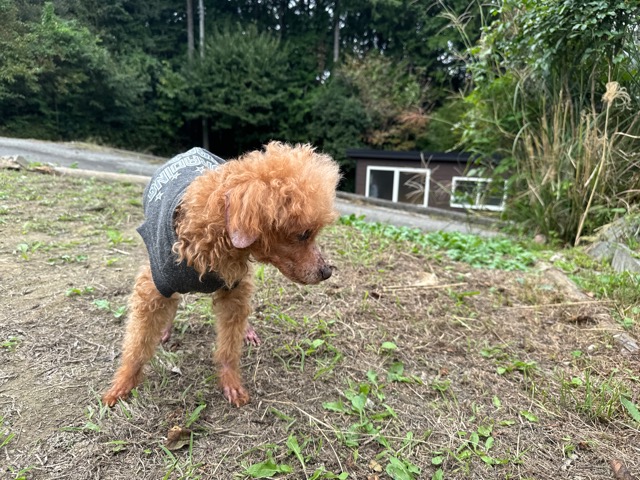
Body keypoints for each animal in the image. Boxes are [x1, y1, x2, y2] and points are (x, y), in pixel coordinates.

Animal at [103, 142, 340, 407]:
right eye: (303, 234)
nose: (327, 271)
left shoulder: (233, 290)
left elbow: (229, 343)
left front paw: (231, 383)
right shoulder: (154, 286)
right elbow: (137, 344)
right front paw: (122, 385)